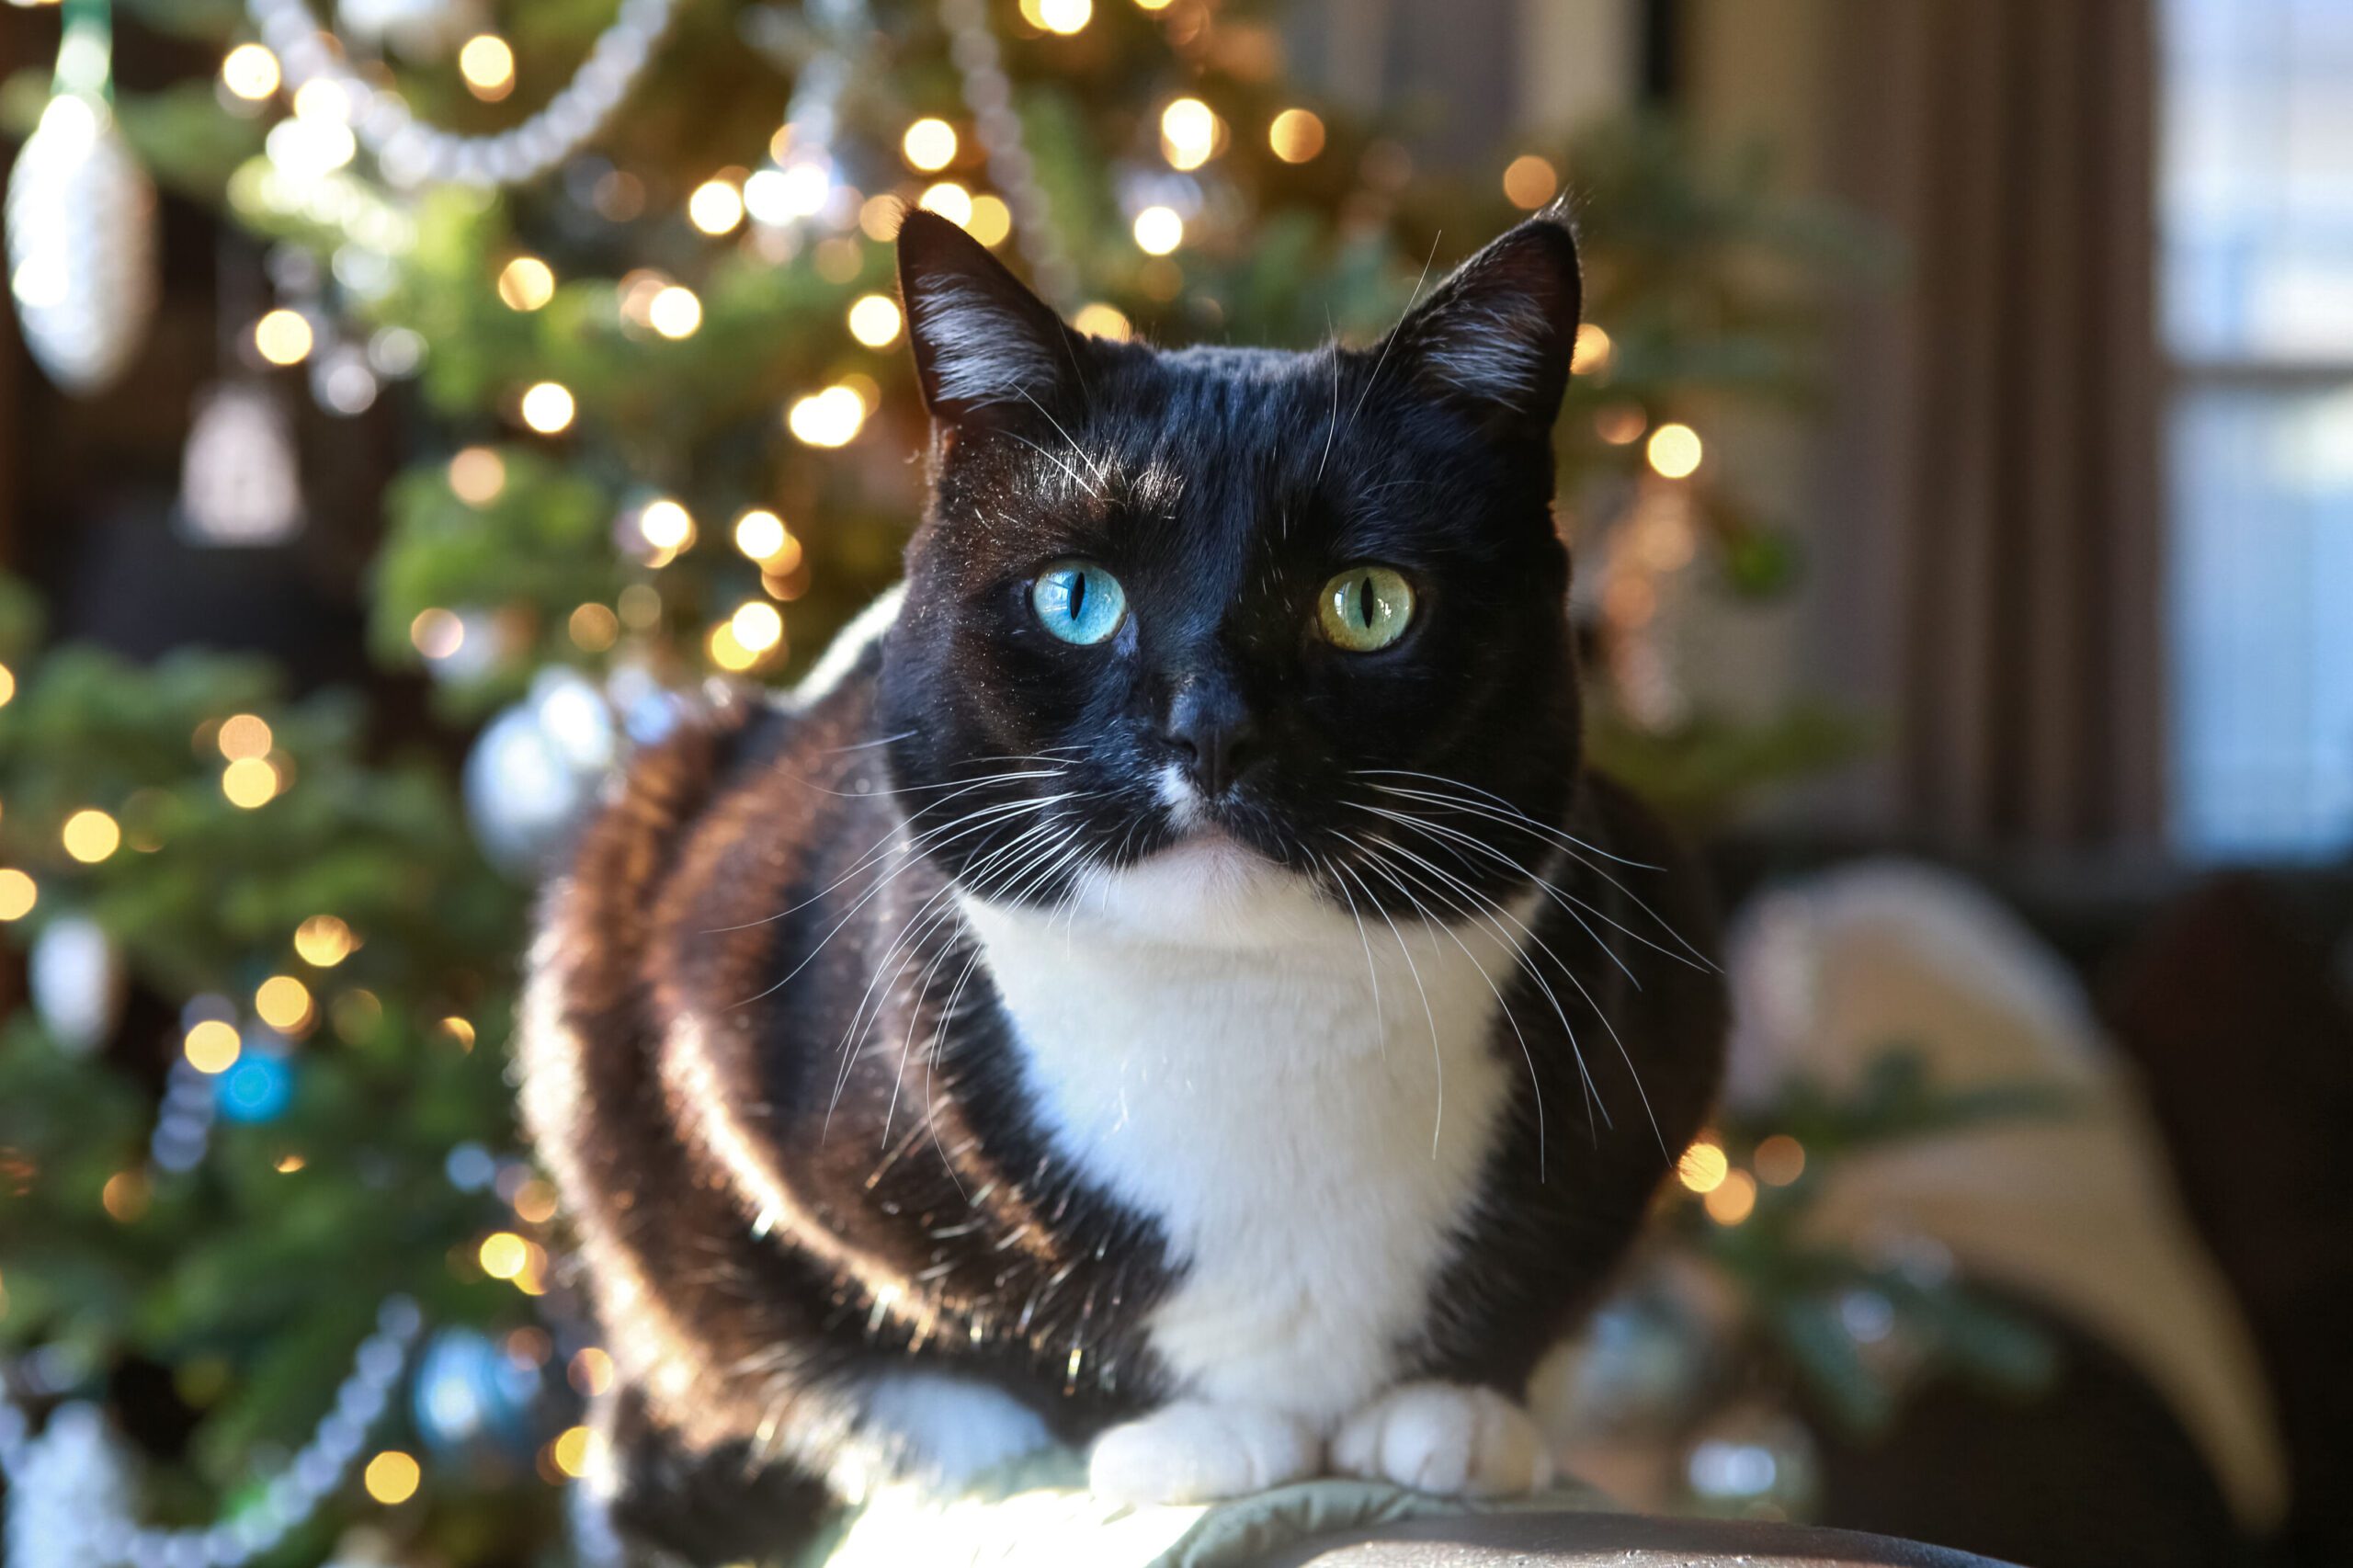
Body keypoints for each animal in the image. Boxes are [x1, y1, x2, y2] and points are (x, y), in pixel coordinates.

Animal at [519, 207, 1732, 1562]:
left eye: (1367, 604)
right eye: (1076, 598)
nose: (1210, 730)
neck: (1247, 1018)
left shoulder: (1663, 997)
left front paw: (1457, 1409)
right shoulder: (734, 1046)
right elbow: (968, 1312)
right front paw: (1186, 1434)